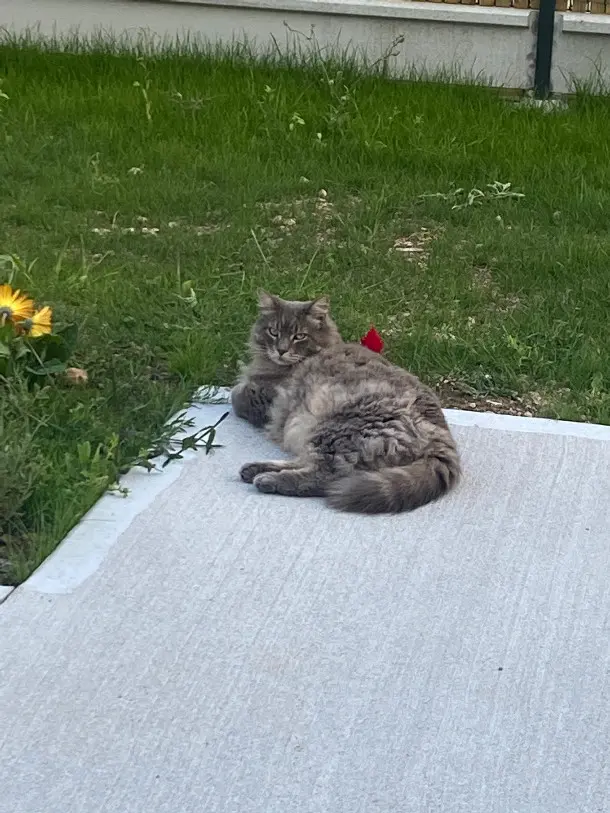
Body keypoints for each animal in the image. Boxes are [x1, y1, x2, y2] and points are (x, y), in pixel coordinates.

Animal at [230, 292, 458, 512]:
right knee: (306, 462)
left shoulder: (266, 398)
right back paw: (254, 469)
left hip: (333, 432)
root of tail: (441, 438)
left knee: (327, 476)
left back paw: (267, 479)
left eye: (299, 336)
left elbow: (236, 396)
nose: (281, 350)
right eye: (273, 332)